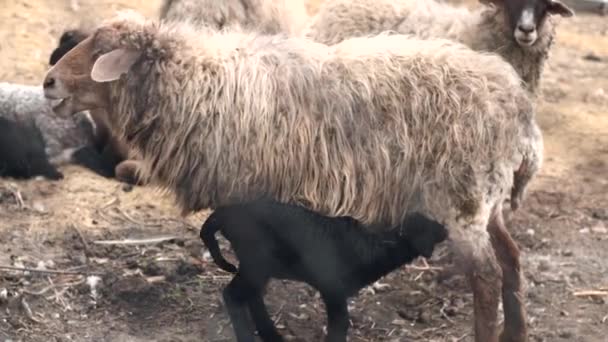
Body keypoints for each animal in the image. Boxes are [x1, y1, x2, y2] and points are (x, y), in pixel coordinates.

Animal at [202, 199, 448, 342]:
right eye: (431, 227)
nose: (446, 229)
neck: (376, 245)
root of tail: (222, 213)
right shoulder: (334, 290)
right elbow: (339, 325)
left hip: (258, 267)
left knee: (252, 296)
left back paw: (273, 336)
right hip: (256, 263)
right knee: (232, 295)